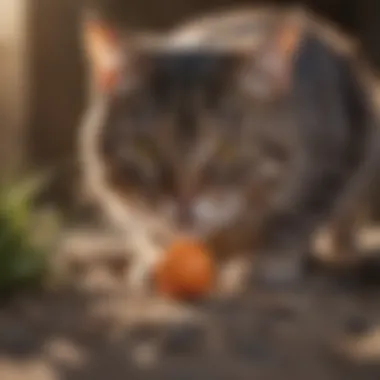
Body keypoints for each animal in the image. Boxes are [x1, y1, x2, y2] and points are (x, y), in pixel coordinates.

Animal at [78, 5, 380, 290]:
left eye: (227, 150)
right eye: (146, 149)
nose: (183, 207)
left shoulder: (339, 162)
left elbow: (295, 220)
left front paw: (265, 258)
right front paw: (156, 258)